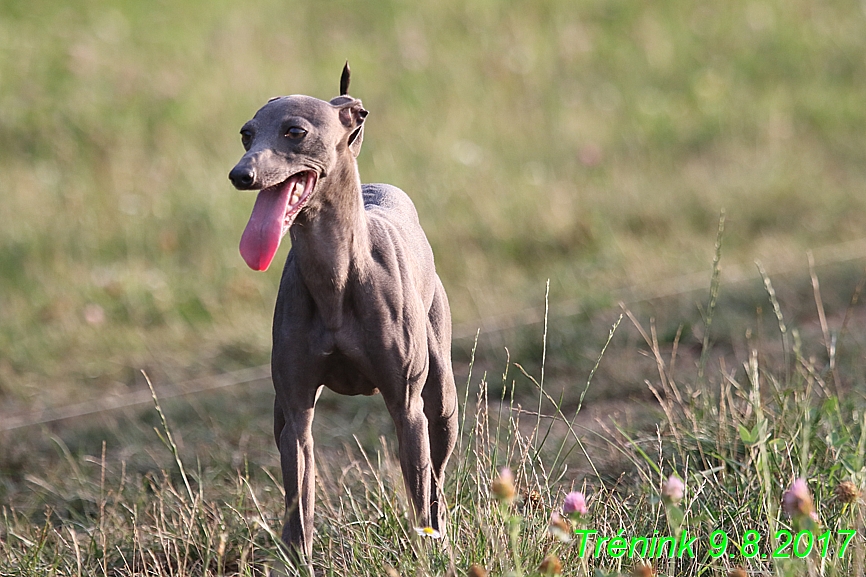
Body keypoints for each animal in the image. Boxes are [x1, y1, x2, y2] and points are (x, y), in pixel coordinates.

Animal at [230, 64, 460, 564]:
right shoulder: (295, 413)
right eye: (246, 134)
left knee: (435, 481)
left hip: (442, 403)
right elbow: (300, 505)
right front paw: (299, 560)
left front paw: (424, 554)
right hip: (279, 416)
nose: (241, 174)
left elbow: (419, 493)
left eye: (295, 132)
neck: (335, 276)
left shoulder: (407, 409)